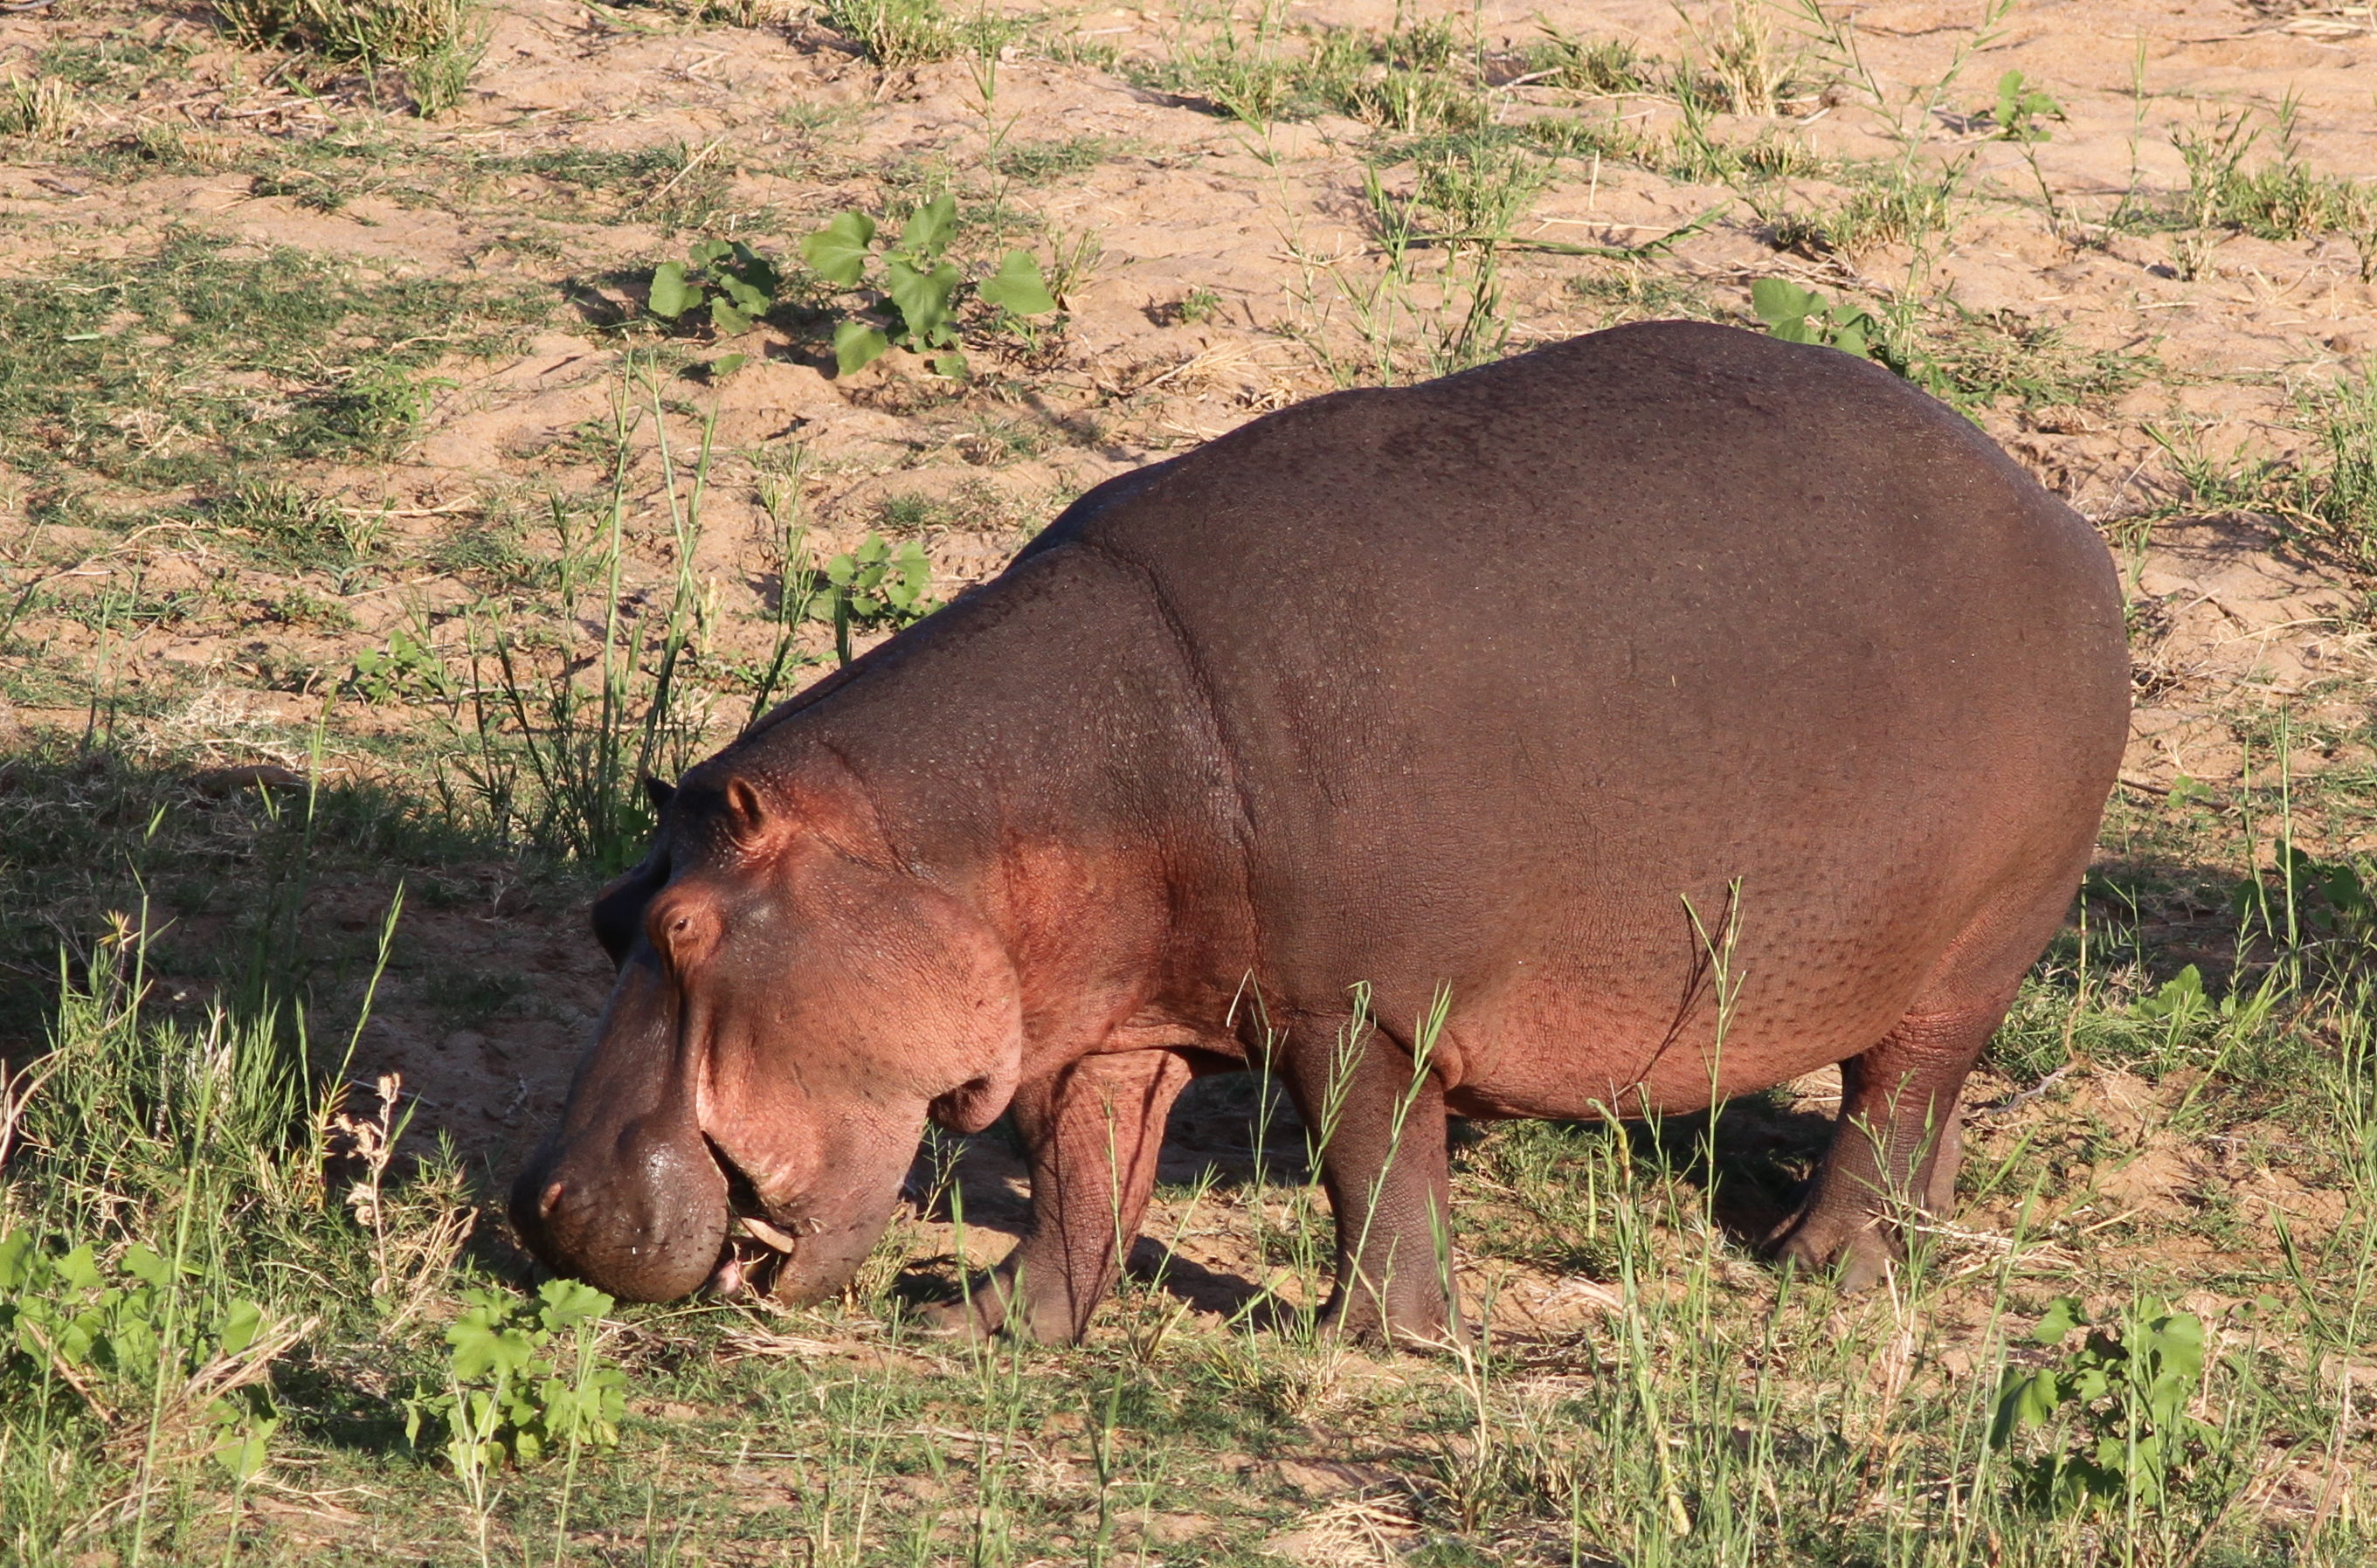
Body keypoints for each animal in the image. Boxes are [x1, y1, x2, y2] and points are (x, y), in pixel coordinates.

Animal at [512, 320, 2128, 1345]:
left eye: (684, 928)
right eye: (608, 913)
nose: (550, 1205)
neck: (953, 833)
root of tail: (2052, 513)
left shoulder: (1353, 1009)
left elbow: (1371, 1164)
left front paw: (1376, 1341)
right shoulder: (1117, 1022)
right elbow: (1085, 1178)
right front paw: (987, 1326)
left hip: (1972, 945)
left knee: (1893, 1096)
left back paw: (1817, 1271)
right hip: (1940, 965)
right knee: (1914, 1106)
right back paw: (1906, 1243)